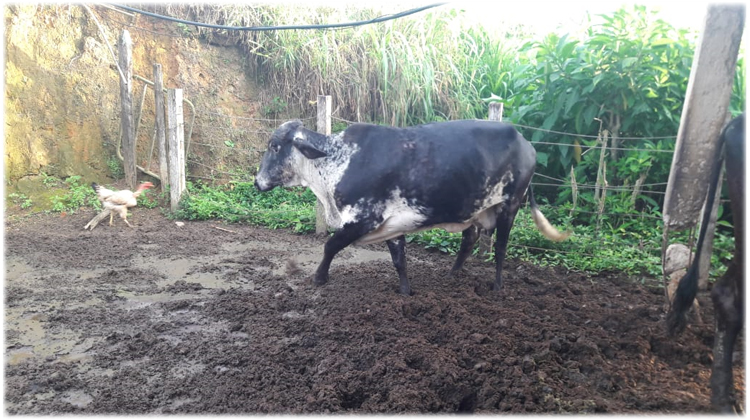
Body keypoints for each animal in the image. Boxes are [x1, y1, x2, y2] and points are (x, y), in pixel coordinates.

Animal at [254, 119, 570, 295]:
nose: (257, 182)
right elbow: (399, 261)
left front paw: (319, 278)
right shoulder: (392, 225)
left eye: (274, 146)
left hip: (510, 206)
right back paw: (451, 276)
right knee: (469, 239)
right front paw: (405, 293)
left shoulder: (363, 219)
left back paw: (497, 287)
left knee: (501, 248)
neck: (336, 161)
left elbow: (330, 245)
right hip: (476, 210)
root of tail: (526, 142)